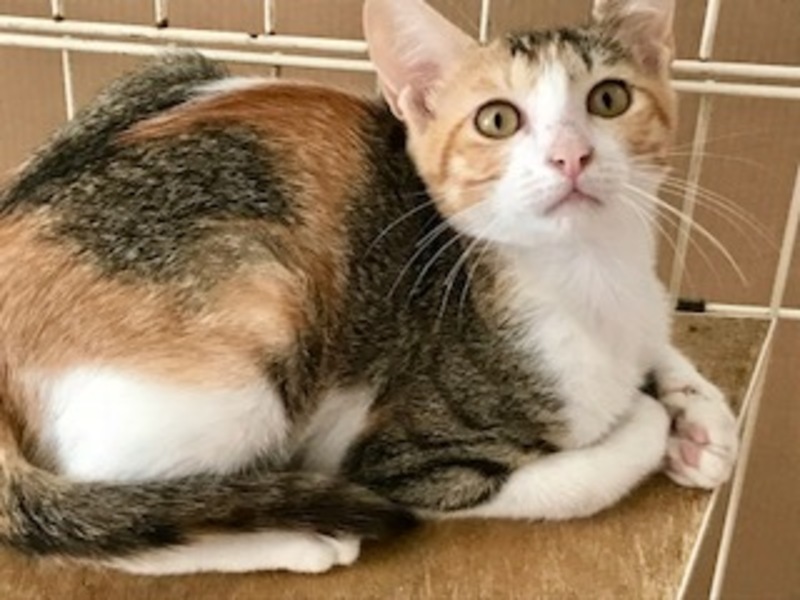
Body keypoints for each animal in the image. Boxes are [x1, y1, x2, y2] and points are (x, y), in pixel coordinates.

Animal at [0, 0, 738, 575]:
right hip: (252, 338)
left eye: (608, 99)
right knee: (113, 531)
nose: (571, 156)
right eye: (498, 120)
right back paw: (303, 540)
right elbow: (589, 472)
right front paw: (654, 420)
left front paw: (699, 415)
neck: (596, 274)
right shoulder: (404, 463)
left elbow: (659, 339)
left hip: (171, 70)